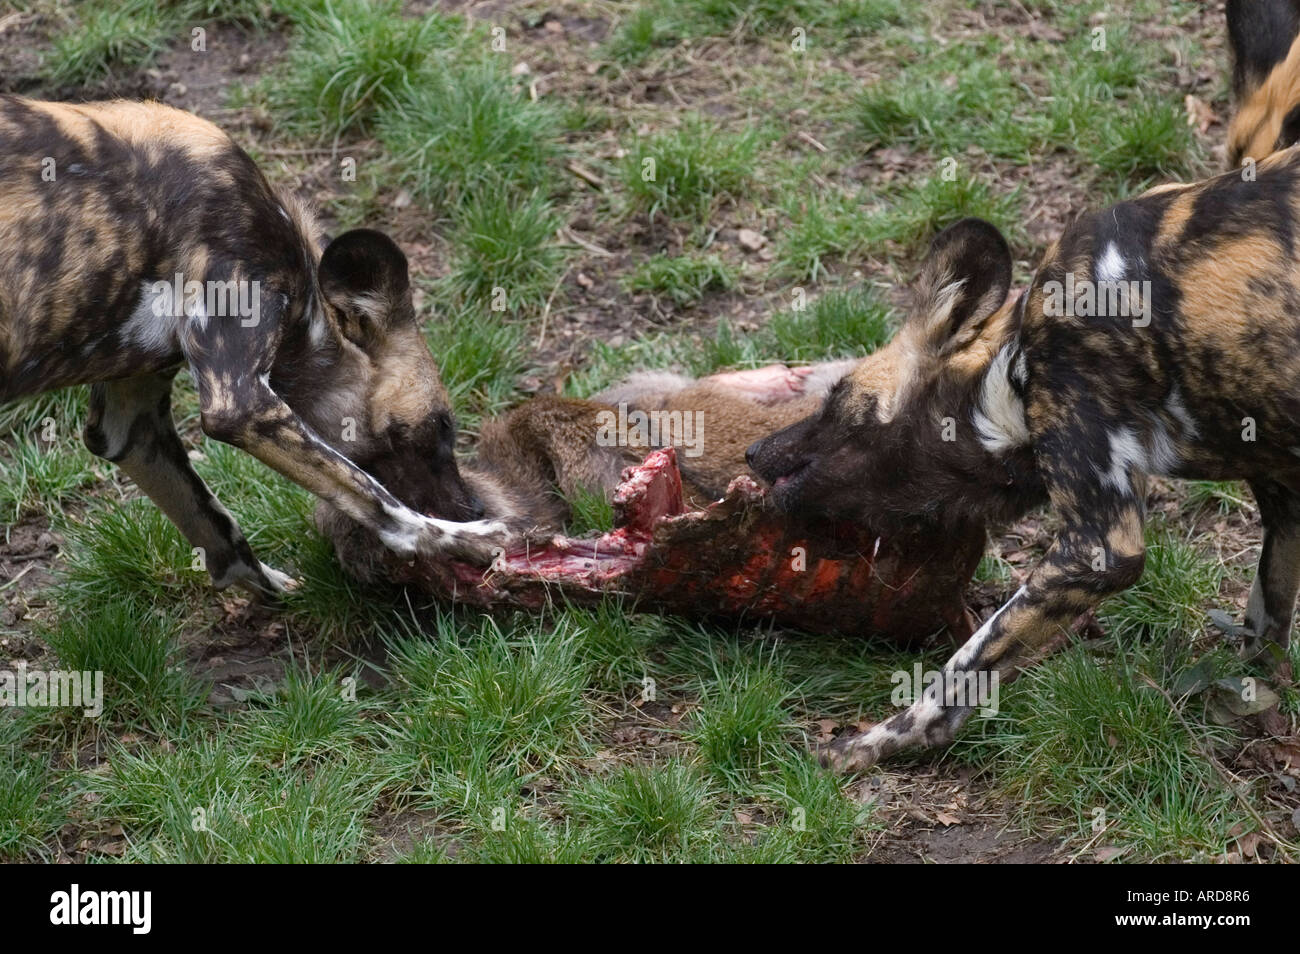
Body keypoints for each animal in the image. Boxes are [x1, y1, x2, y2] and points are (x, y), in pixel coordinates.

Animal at [0, 95, 506, 590]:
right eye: (443, 426)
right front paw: (469, 540)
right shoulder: (240, 402)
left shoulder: (128, 427)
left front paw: (271, 589)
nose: (476, 507)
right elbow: (381, 502)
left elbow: (217, 528)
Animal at [748, 153, 1300, 774]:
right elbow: (1266, 633)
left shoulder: (1099, 546)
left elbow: (958, 672)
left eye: (836, 395)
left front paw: (866, 746)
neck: (1007, 377)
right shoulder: (1285, 502)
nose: (753, 451)